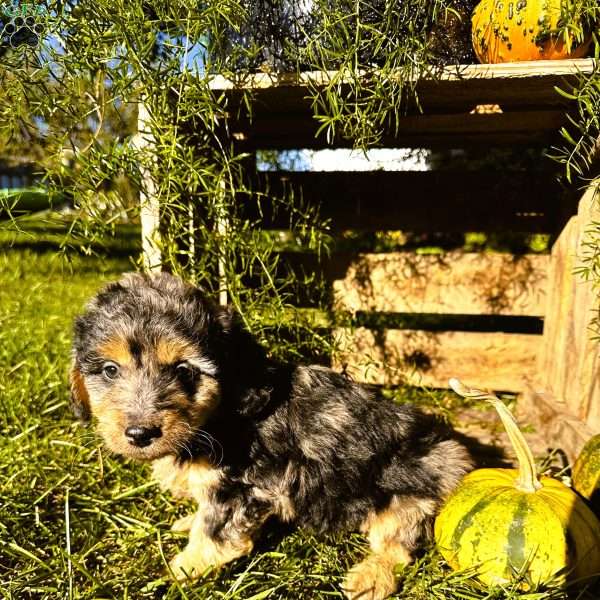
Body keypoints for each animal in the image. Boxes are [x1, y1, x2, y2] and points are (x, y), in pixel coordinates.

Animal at [70, 274, 472, 600]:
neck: (221, 413)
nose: (141, 433)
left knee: (397, 544)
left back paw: (370, 578)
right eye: (110, 370)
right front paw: (189, 522)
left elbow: (214, 532)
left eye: (184, 371)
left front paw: (182, 568)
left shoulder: (242, 487)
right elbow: (204, 514)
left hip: (410, 489)